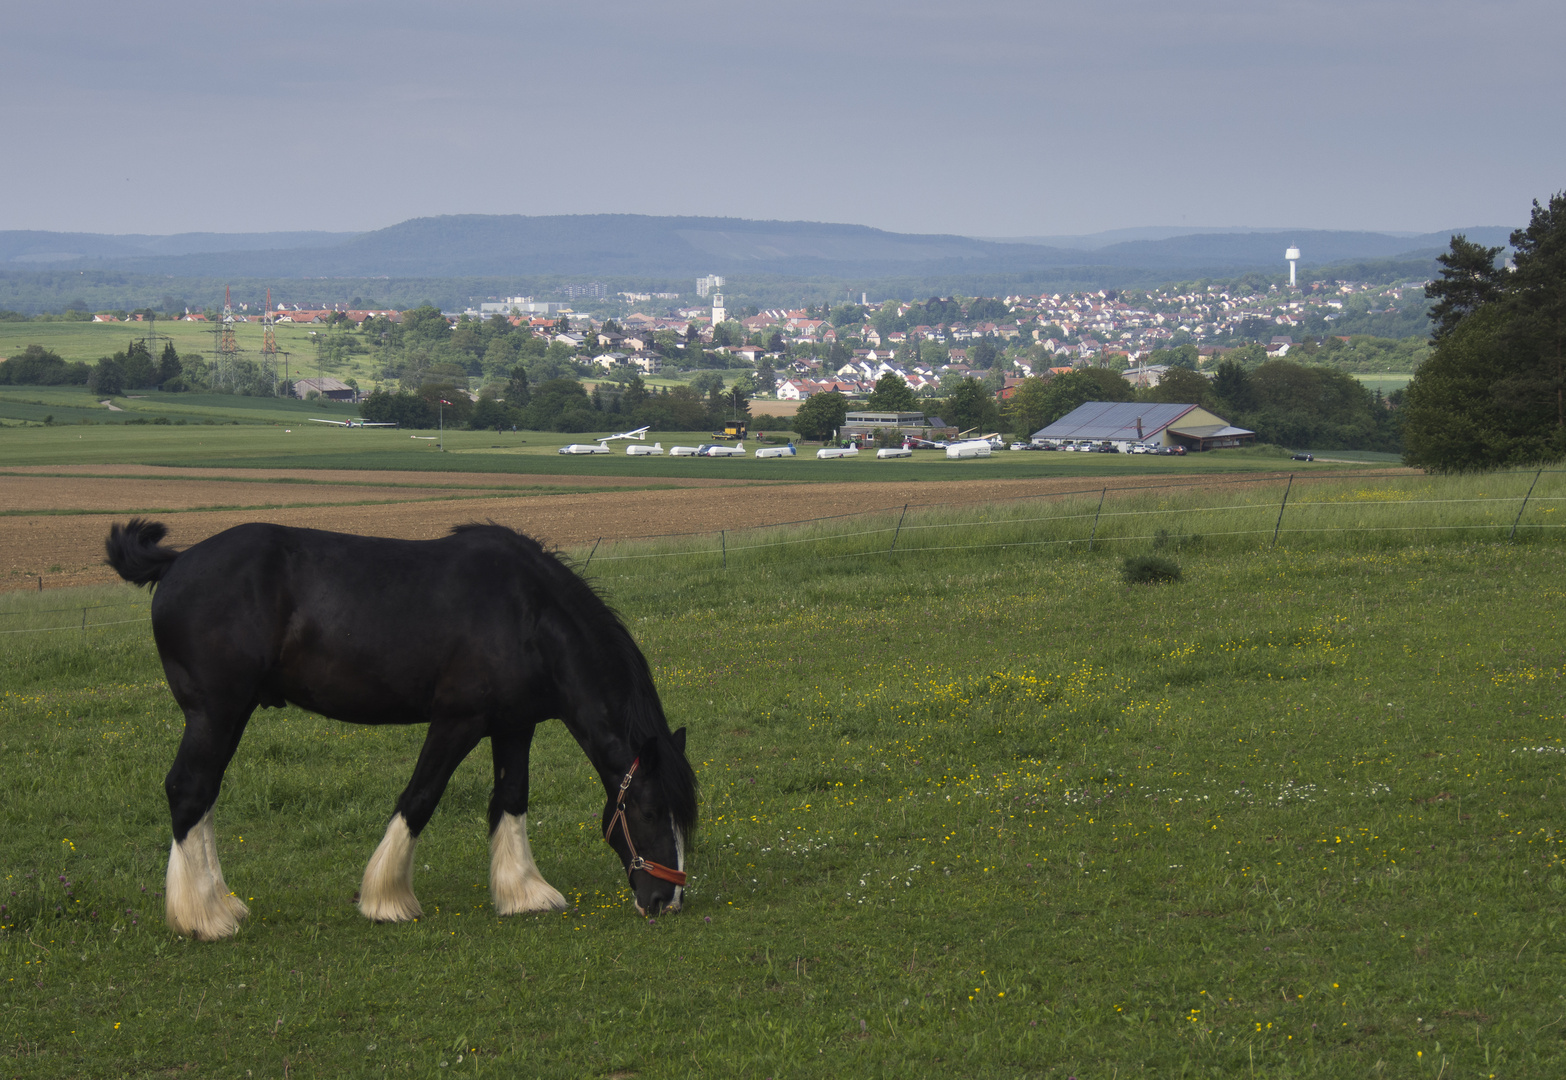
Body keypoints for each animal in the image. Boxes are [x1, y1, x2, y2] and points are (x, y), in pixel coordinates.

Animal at [107, 516, 695, 939]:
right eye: (648, 811)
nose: (666, 901)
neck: (527, 614)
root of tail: (176, 562)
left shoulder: (514, 726)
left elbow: (510, 798)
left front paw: (524, 893)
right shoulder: (457, 721)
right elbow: (420, 797)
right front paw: (386, 899)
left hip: (230, 715)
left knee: (203, 797)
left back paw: (220, 905)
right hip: (216, 713)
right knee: (189, 790)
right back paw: (205, 918)